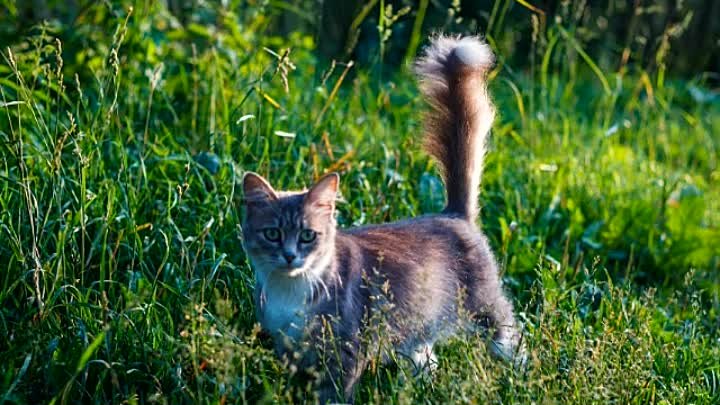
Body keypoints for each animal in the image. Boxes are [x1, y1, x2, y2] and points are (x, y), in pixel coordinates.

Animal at [242, 34, 524, 400]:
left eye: (307, 236)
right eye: (273, 234)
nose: (290, 256)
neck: (290, 292)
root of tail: (453, 213)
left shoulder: (345, 349)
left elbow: (334, 394)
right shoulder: (288, 348)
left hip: (485, 310)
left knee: (511, 339)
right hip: (416, 328)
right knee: (427, 359)